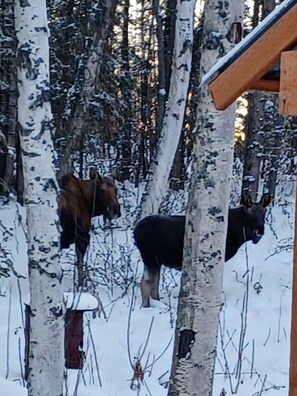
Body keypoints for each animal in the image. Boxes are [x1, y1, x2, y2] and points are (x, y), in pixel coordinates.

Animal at [134, 193, 270, 308]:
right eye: (250, 214)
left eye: (264, 214)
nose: (260, 231)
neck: (237, 234)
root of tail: (135, 231)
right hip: (150, 257)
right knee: (145, 282)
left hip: (156, 260)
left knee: (154, 282)